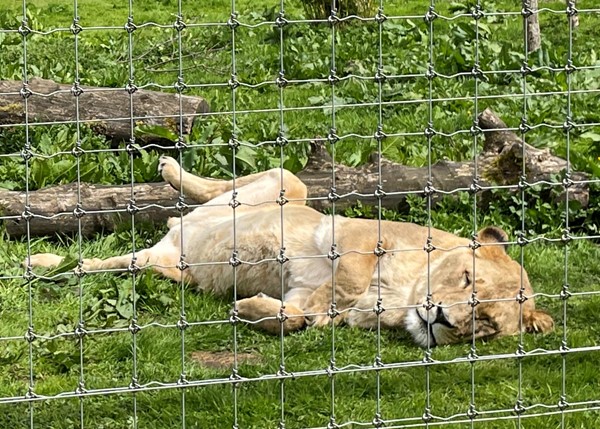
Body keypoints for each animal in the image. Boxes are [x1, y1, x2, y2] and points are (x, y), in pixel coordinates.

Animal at [28, 155, 552, 346]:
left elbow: (299, 316)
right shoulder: (360, 234)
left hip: (163, 268)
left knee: (98, 264)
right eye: (466, 280)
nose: (443, 318)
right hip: (290, 186)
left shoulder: (306, 298)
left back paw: (43, 264)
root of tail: (175, 238)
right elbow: (349, 278)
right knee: (253, 178)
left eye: (485, 322)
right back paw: (169, 167)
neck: (399, 302)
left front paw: (253, 309)